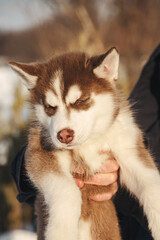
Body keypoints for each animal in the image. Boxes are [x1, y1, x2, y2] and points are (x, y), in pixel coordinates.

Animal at [9, 47, 160, 240]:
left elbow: (151, 183)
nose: (64, 135)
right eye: (50, 107)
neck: (89, 142)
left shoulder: (129, 149)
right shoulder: (38, 151)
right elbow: (68, 191)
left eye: (81, 100)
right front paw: (62, 232)